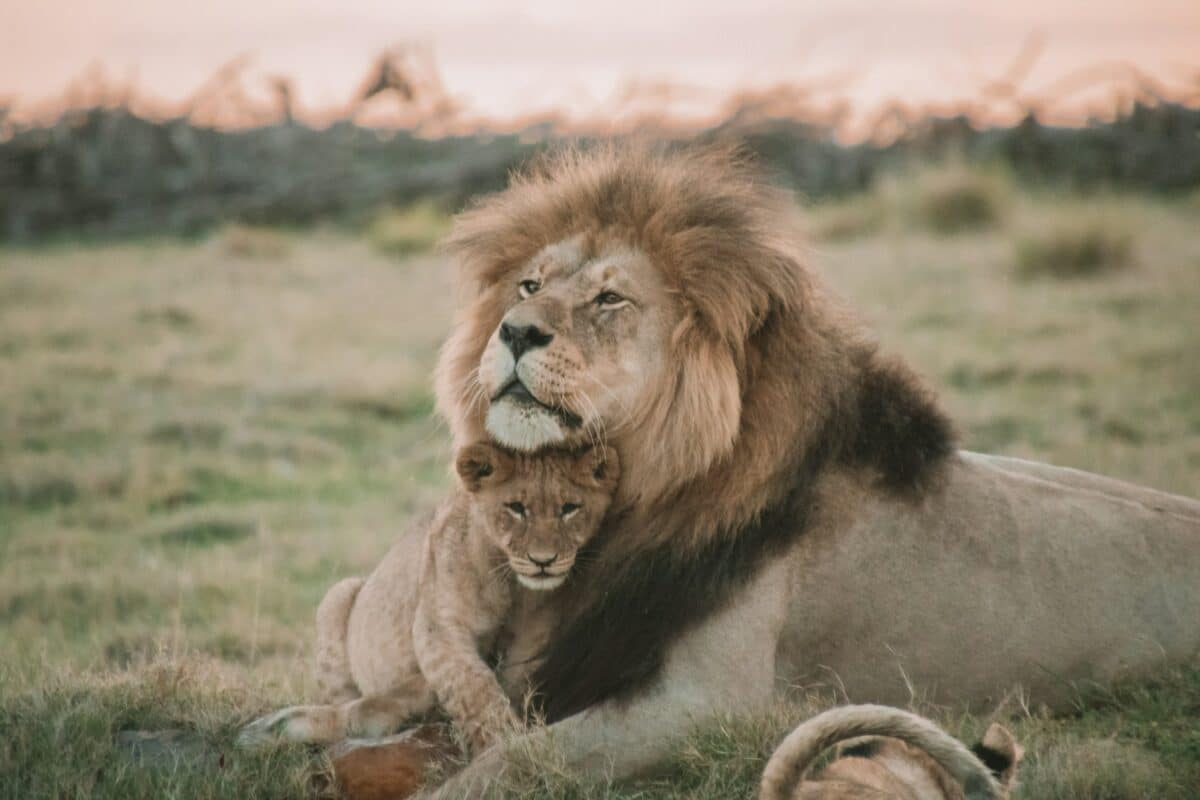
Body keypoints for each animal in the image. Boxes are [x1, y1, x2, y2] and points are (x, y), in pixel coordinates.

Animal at [348, 143, 1200, 796]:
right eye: (529, 284)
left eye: (611, 299)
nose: (514, 330)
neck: (641, 494)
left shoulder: (710, 703)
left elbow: (516, 759)